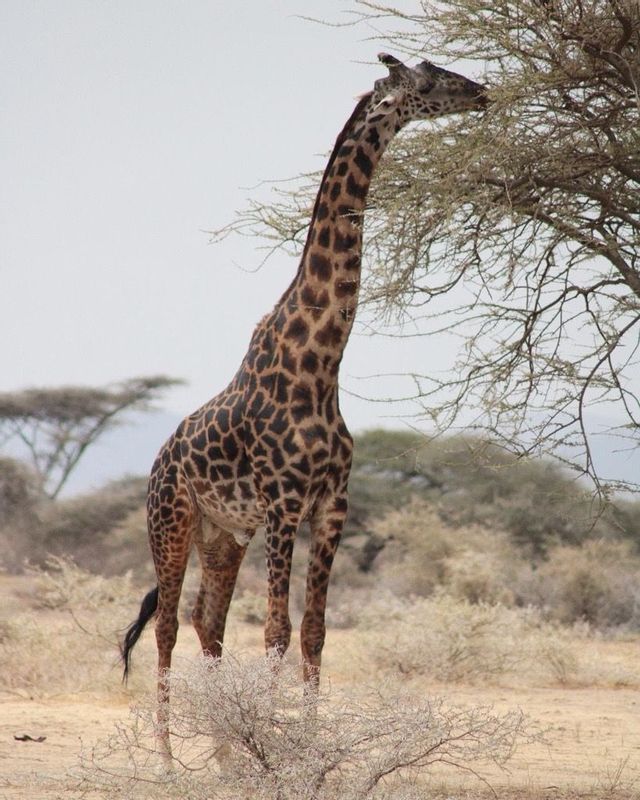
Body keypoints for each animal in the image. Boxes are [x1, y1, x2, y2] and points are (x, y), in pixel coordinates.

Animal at [122, 52, 487, 754]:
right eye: (430, 78)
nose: (482, 91)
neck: (321, 365)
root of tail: (157, 462)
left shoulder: (332, 503)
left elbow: (314, 631)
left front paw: (301, 749)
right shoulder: (284, 501)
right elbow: (276, 631)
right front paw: (277, 749)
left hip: (224, 534)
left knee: (208, 622)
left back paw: (224, 755)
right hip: (171, 522)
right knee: (169, 626)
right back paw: (169, 759)